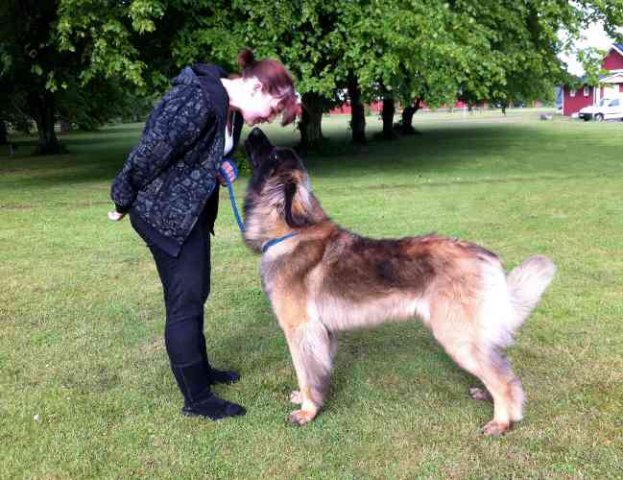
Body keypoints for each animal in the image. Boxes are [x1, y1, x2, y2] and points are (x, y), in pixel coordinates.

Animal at [243, 127, 556, 436]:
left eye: (272, 156)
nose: (254, 129)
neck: (290, 231)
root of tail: (484, 256)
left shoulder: (301, 330)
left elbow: (305, 372)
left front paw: (308, 410)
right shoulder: (323, 331)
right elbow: (318, 371)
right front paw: (308, 398)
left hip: (457, 336)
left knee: (504, 379)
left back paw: (502, 421)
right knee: (498, 363)